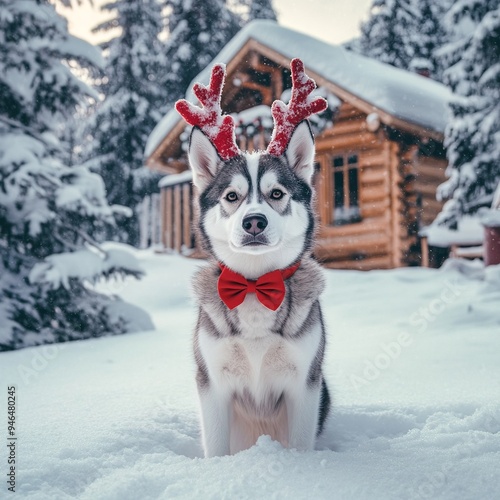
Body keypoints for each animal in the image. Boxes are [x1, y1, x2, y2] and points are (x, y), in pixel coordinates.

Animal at [177, 58, 332, 458]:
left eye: (276, 193)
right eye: (232, 196)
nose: (254, 222)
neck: (254, 285)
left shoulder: (305, 383)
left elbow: (301, 443)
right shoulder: (212, 381)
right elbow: (216, 447)